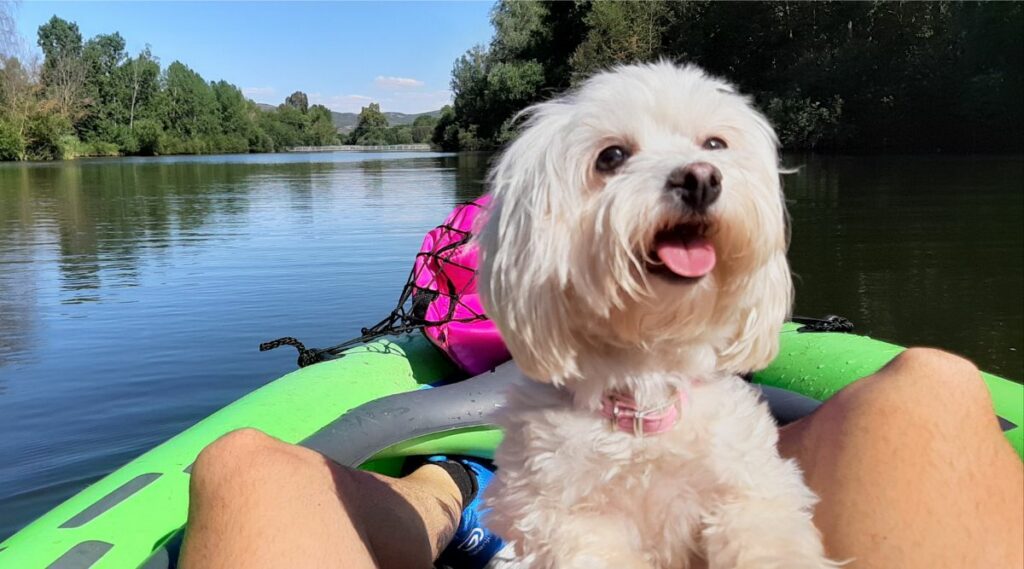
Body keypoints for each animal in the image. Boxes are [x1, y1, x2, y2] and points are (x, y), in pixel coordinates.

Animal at [475, 62, 835, 569]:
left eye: (714, 145)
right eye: (611, 156)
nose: (701, 178)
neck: (649, 393)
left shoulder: (753, 486)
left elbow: (768, 536)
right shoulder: (567, 520)